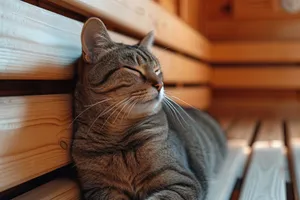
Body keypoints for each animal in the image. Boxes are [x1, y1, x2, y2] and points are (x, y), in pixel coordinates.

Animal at [72, 17, 227, 200]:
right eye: (132, 69)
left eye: (157, 69)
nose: (160, 84)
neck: (120, 139)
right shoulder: (99, 189)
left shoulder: (183, 180)